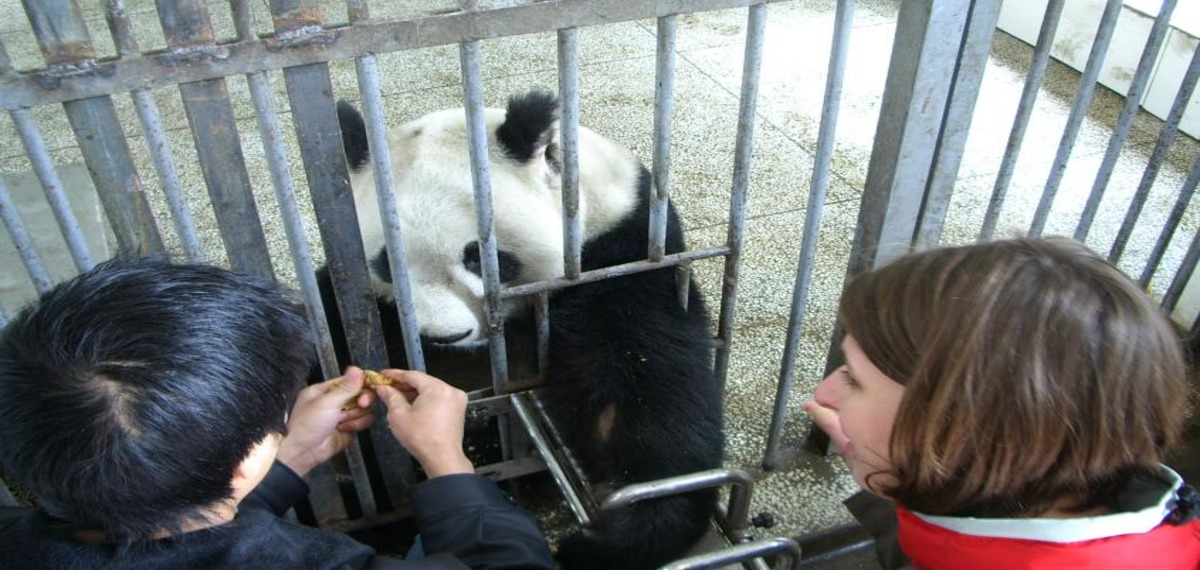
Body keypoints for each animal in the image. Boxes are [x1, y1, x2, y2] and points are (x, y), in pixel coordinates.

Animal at [324, 91, 724, 568]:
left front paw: (639, 521)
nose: (444, 336)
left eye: (479, 257)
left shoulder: (621, 249)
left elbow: (637, 370)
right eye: (386, 262)